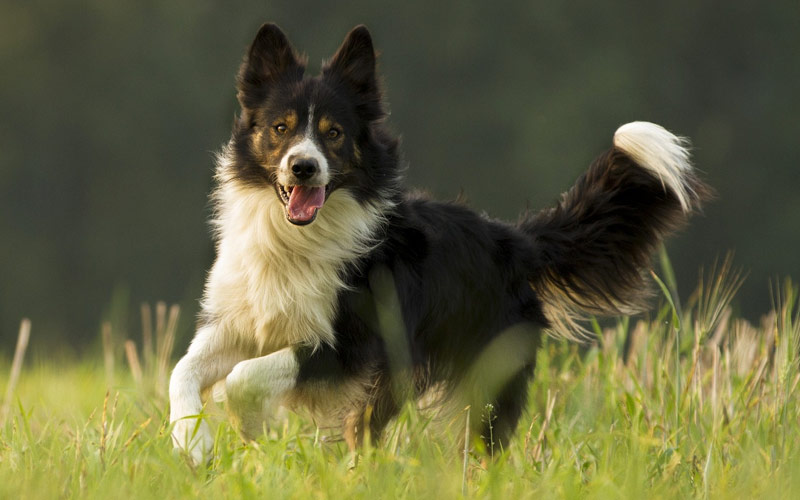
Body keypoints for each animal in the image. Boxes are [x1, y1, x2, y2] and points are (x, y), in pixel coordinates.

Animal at [167, 22, 708, 460]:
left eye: (334, 133)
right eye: (280, 128)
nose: (304, 167)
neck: (296, 239)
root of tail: (513, 240)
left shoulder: (350, 345)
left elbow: (244, 377)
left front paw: (248, 427)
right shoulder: (240, 320)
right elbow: (182, 370)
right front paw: (192, 445)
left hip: (472, 373)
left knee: (476, 443)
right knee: (365, 432)